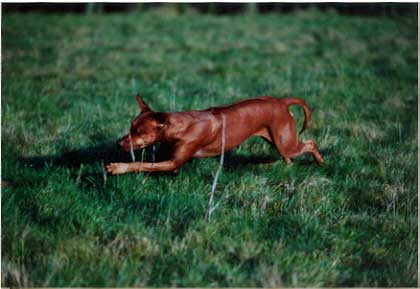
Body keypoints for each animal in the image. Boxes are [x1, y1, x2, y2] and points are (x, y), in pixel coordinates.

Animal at [106, 94, 324, 173]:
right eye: (130, 128)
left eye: (139, 131)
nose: (118, 143)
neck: (179, 127)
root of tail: (281, 101)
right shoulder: (164, 155)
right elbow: (146, 163)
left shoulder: (172, 163)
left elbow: (140, 164)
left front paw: (118, 167)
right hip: (277, 141)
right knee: (288, 157)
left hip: (285, 141)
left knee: (310, 143)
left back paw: (320, 161)